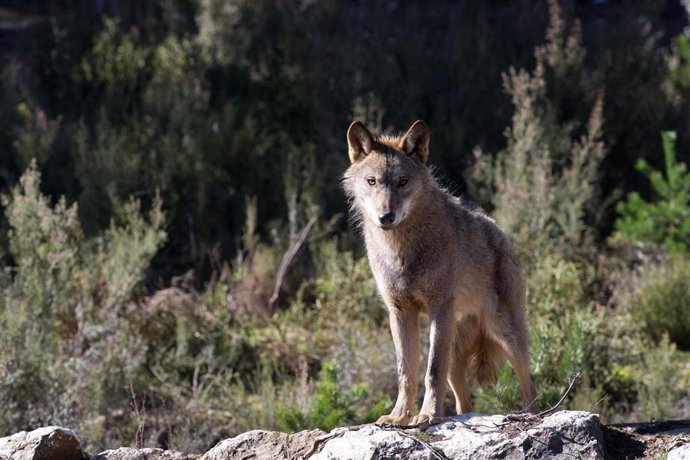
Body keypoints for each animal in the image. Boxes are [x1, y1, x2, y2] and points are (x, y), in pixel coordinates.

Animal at [342, 119, 536, 424]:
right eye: (371, 181)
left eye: (403, 181)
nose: (386, 217)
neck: (401, 250)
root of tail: (501, 233)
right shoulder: (400, 312)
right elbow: (405, 373)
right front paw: (398, 417)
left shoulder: (439, 308)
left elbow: (432, 372)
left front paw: (427, 415)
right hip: (456, 355)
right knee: (463, 400)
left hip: (505, 333)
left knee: (529, 384)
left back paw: (530, 416)